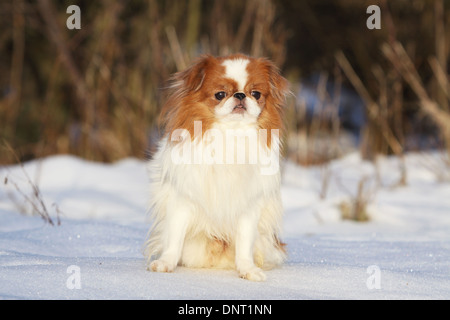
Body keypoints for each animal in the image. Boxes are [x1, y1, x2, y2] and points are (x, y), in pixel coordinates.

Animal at [146, 53, 290, 282]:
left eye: (256, 94)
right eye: (220, 94)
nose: (240, 95)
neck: (230, 133)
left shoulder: (249, 207)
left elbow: (244, 243)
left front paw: (247, 270)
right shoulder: (182, 201)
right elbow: (175, 237)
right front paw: (166, 263)